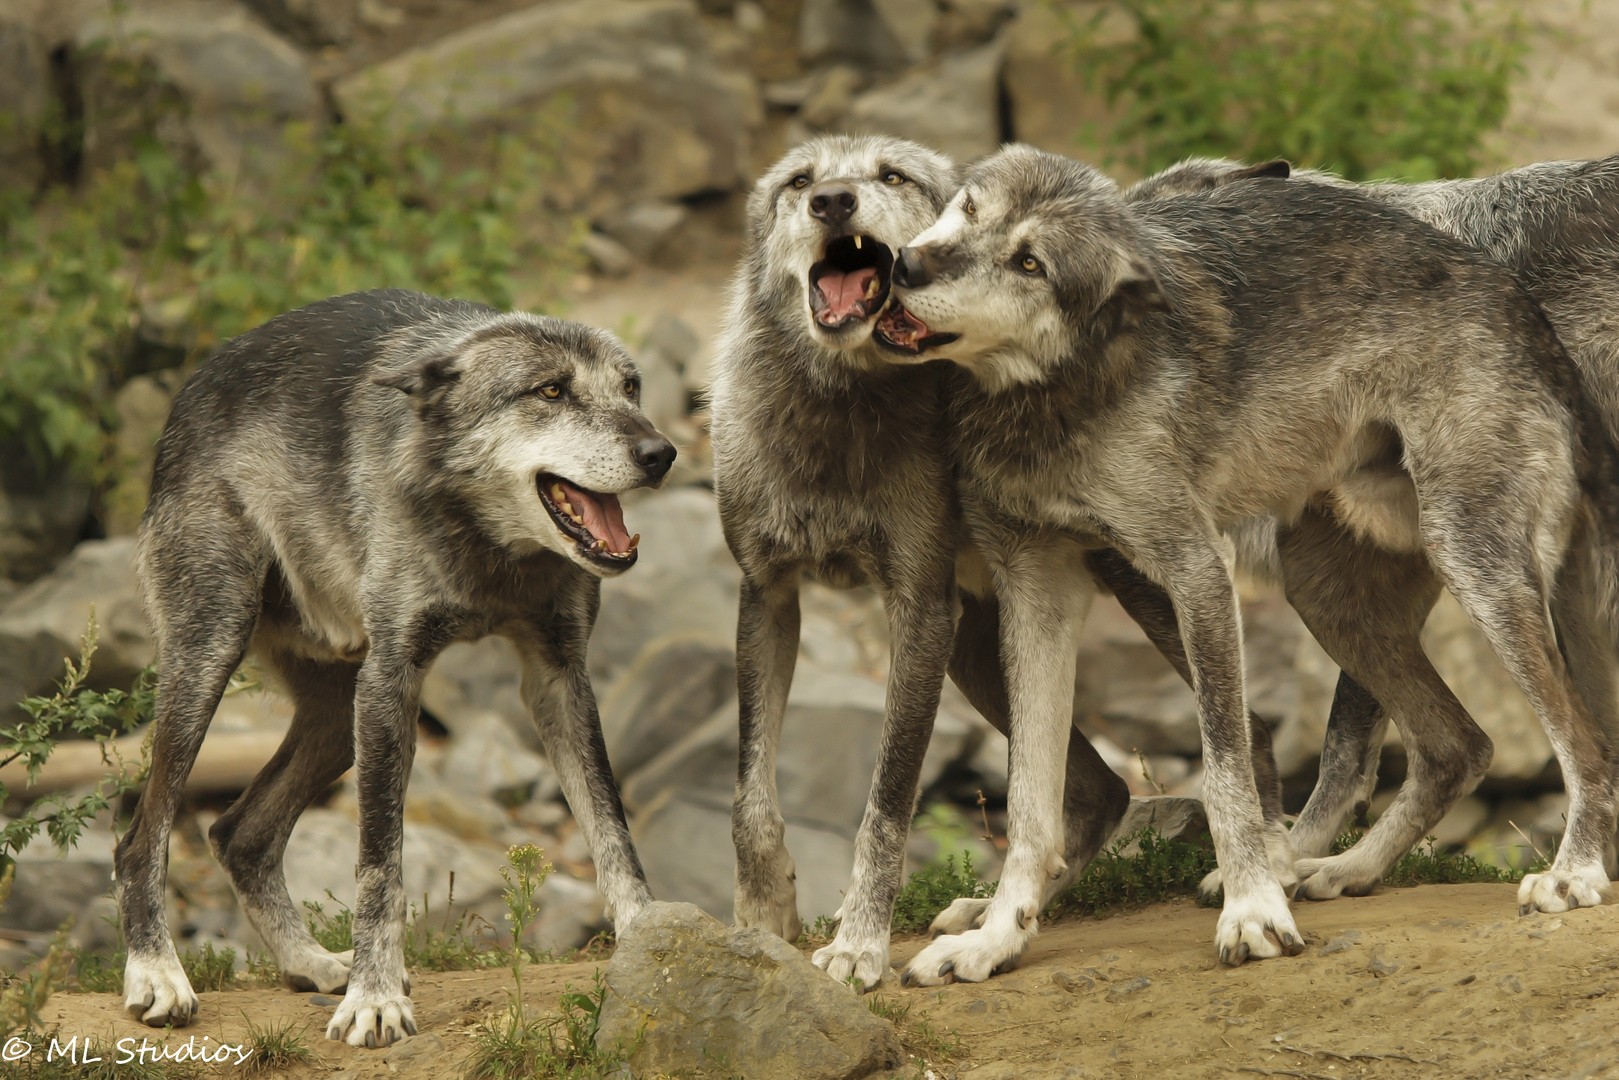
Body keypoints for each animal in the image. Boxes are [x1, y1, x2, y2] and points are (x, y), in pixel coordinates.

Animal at [114, 286, 670, 1049]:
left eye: (631, 388)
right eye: (551, 390)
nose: (661, 452)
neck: (489, 552)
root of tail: (193, 384)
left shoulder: (559, 677)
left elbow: (611, 825)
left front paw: (651, 942)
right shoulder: (392, 679)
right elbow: (381, 860)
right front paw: (375, 999)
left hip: (335, 717)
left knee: (238, 834)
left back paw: (311, 964)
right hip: (211, 660)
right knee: (142, 837)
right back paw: (158, 976)